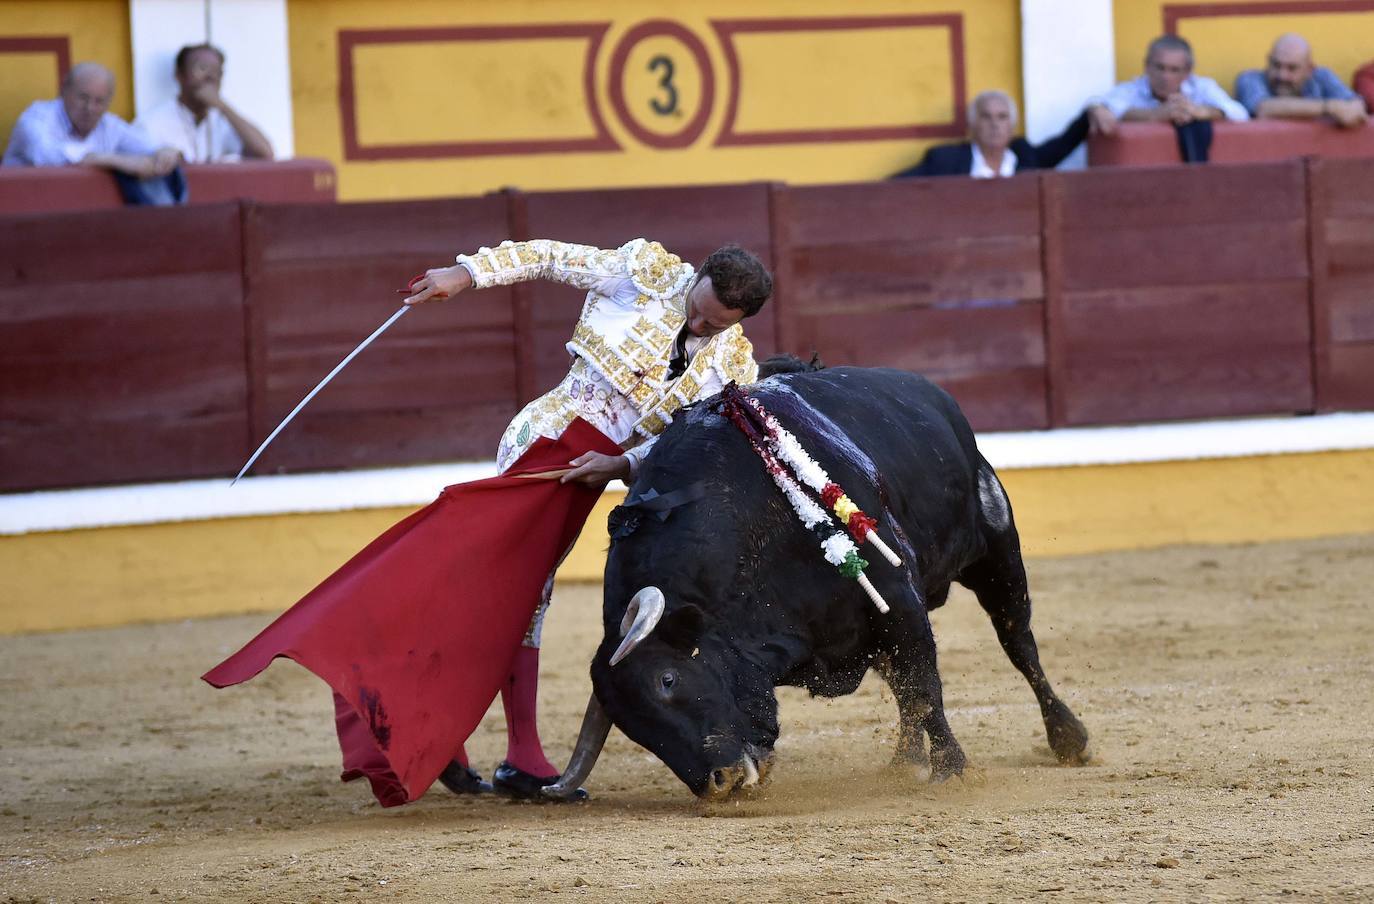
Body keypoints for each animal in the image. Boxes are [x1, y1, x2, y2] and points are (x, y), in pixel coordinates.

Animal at [541, 362, 1088, 796]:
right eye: (630, 727)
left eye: (667, 679)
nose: (719, 783)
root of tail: (930, 392)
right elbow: (911, 687)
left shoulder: (898, 598)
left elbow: (925, 687)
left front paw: (953, 771)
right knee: (904, 682)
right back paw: (903, 764)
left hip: (996, 549)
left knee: (1018, 643)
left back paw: (1068, 738)